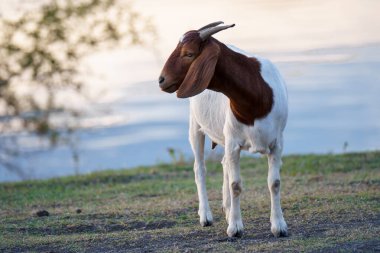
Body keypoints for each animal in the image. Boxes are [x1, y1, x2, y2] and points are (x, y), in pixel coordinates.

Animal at [158, 21, 288, 237]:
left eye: (189, 53)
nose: (161, 79)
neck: (256, 98)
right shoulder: (234, 142)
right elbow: (235, 185)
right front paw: (235, 227)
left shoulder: (276, 143)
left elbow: (274, 183)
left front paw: (279, 226)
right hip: (196, 127)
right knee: (200, 169)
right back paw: (206, 216)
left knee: (224, 163)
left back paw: (227, 209)